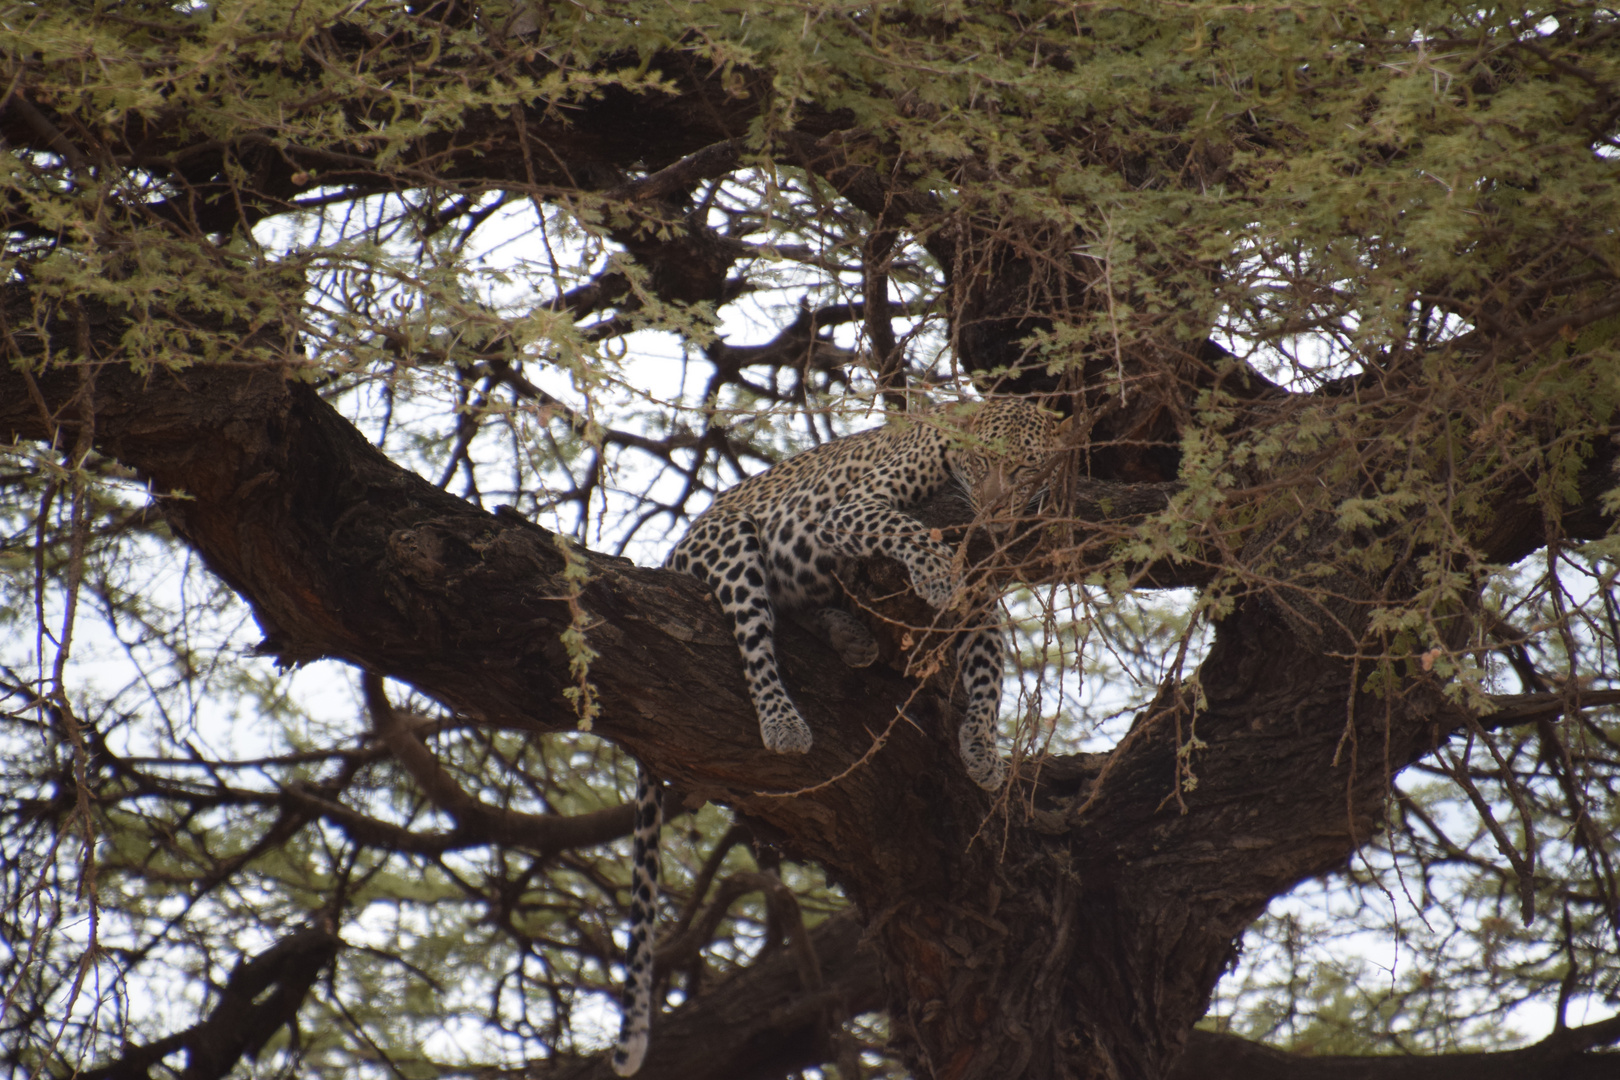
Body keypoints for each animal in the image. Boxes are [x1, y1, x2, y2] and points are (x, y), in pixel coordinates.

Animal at [612, 401, 1069, 1075]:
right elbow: (901, 526)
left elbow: (990, 672)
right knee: (755, 640)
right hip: (735, 545)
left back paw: (849, 636)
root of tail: (675, 553)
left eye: (1027, 468)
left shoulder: (983, 598)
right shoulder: (849, 509)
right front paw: (934, 572)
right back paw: (784, 721)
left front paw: (983, 751)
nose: (992, 512)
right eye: (981, 461)